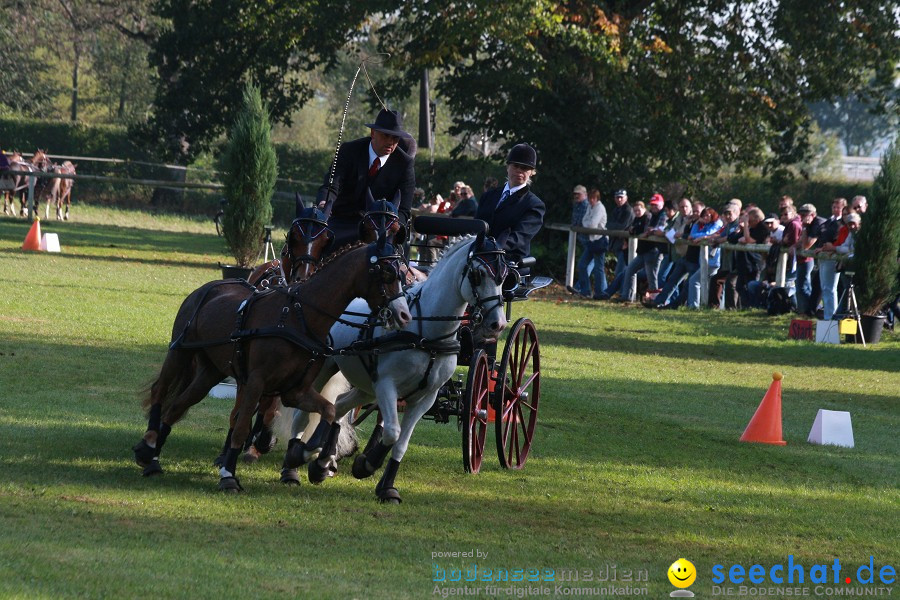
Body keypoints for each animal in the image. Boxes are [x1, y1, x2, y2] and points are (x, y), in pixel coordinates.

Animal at [133, 240, 412, 492]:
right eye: (387, 273)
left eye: (403, 274)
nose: (404, 315)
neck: (299, 317)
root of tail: (209, 287)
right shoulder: (256, 383)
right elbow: (241, 427)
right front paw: (228, 475)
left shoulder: (295, 391)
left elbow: (329, 410)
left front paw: (308, 456)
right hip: (179, 353)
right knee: (160, 392)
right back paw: (149, 443)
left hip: (210, 372)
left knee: (177, 407)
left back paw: (151, 458)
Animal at [284, 234, 506, 502]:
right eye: (478, 274)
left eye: (505, 275)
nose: (498, 324)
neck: (426, 333)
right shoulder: (387, 386)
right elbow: (391, 431)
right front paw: (366, 465)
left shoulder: (424, 398)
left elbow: (401, 443)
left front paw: (386, 486)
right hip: (324, 369)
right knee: (303, 413)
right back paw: (293, 464)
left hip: (365, 386)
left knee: (338, 405)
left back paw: (322, 463)